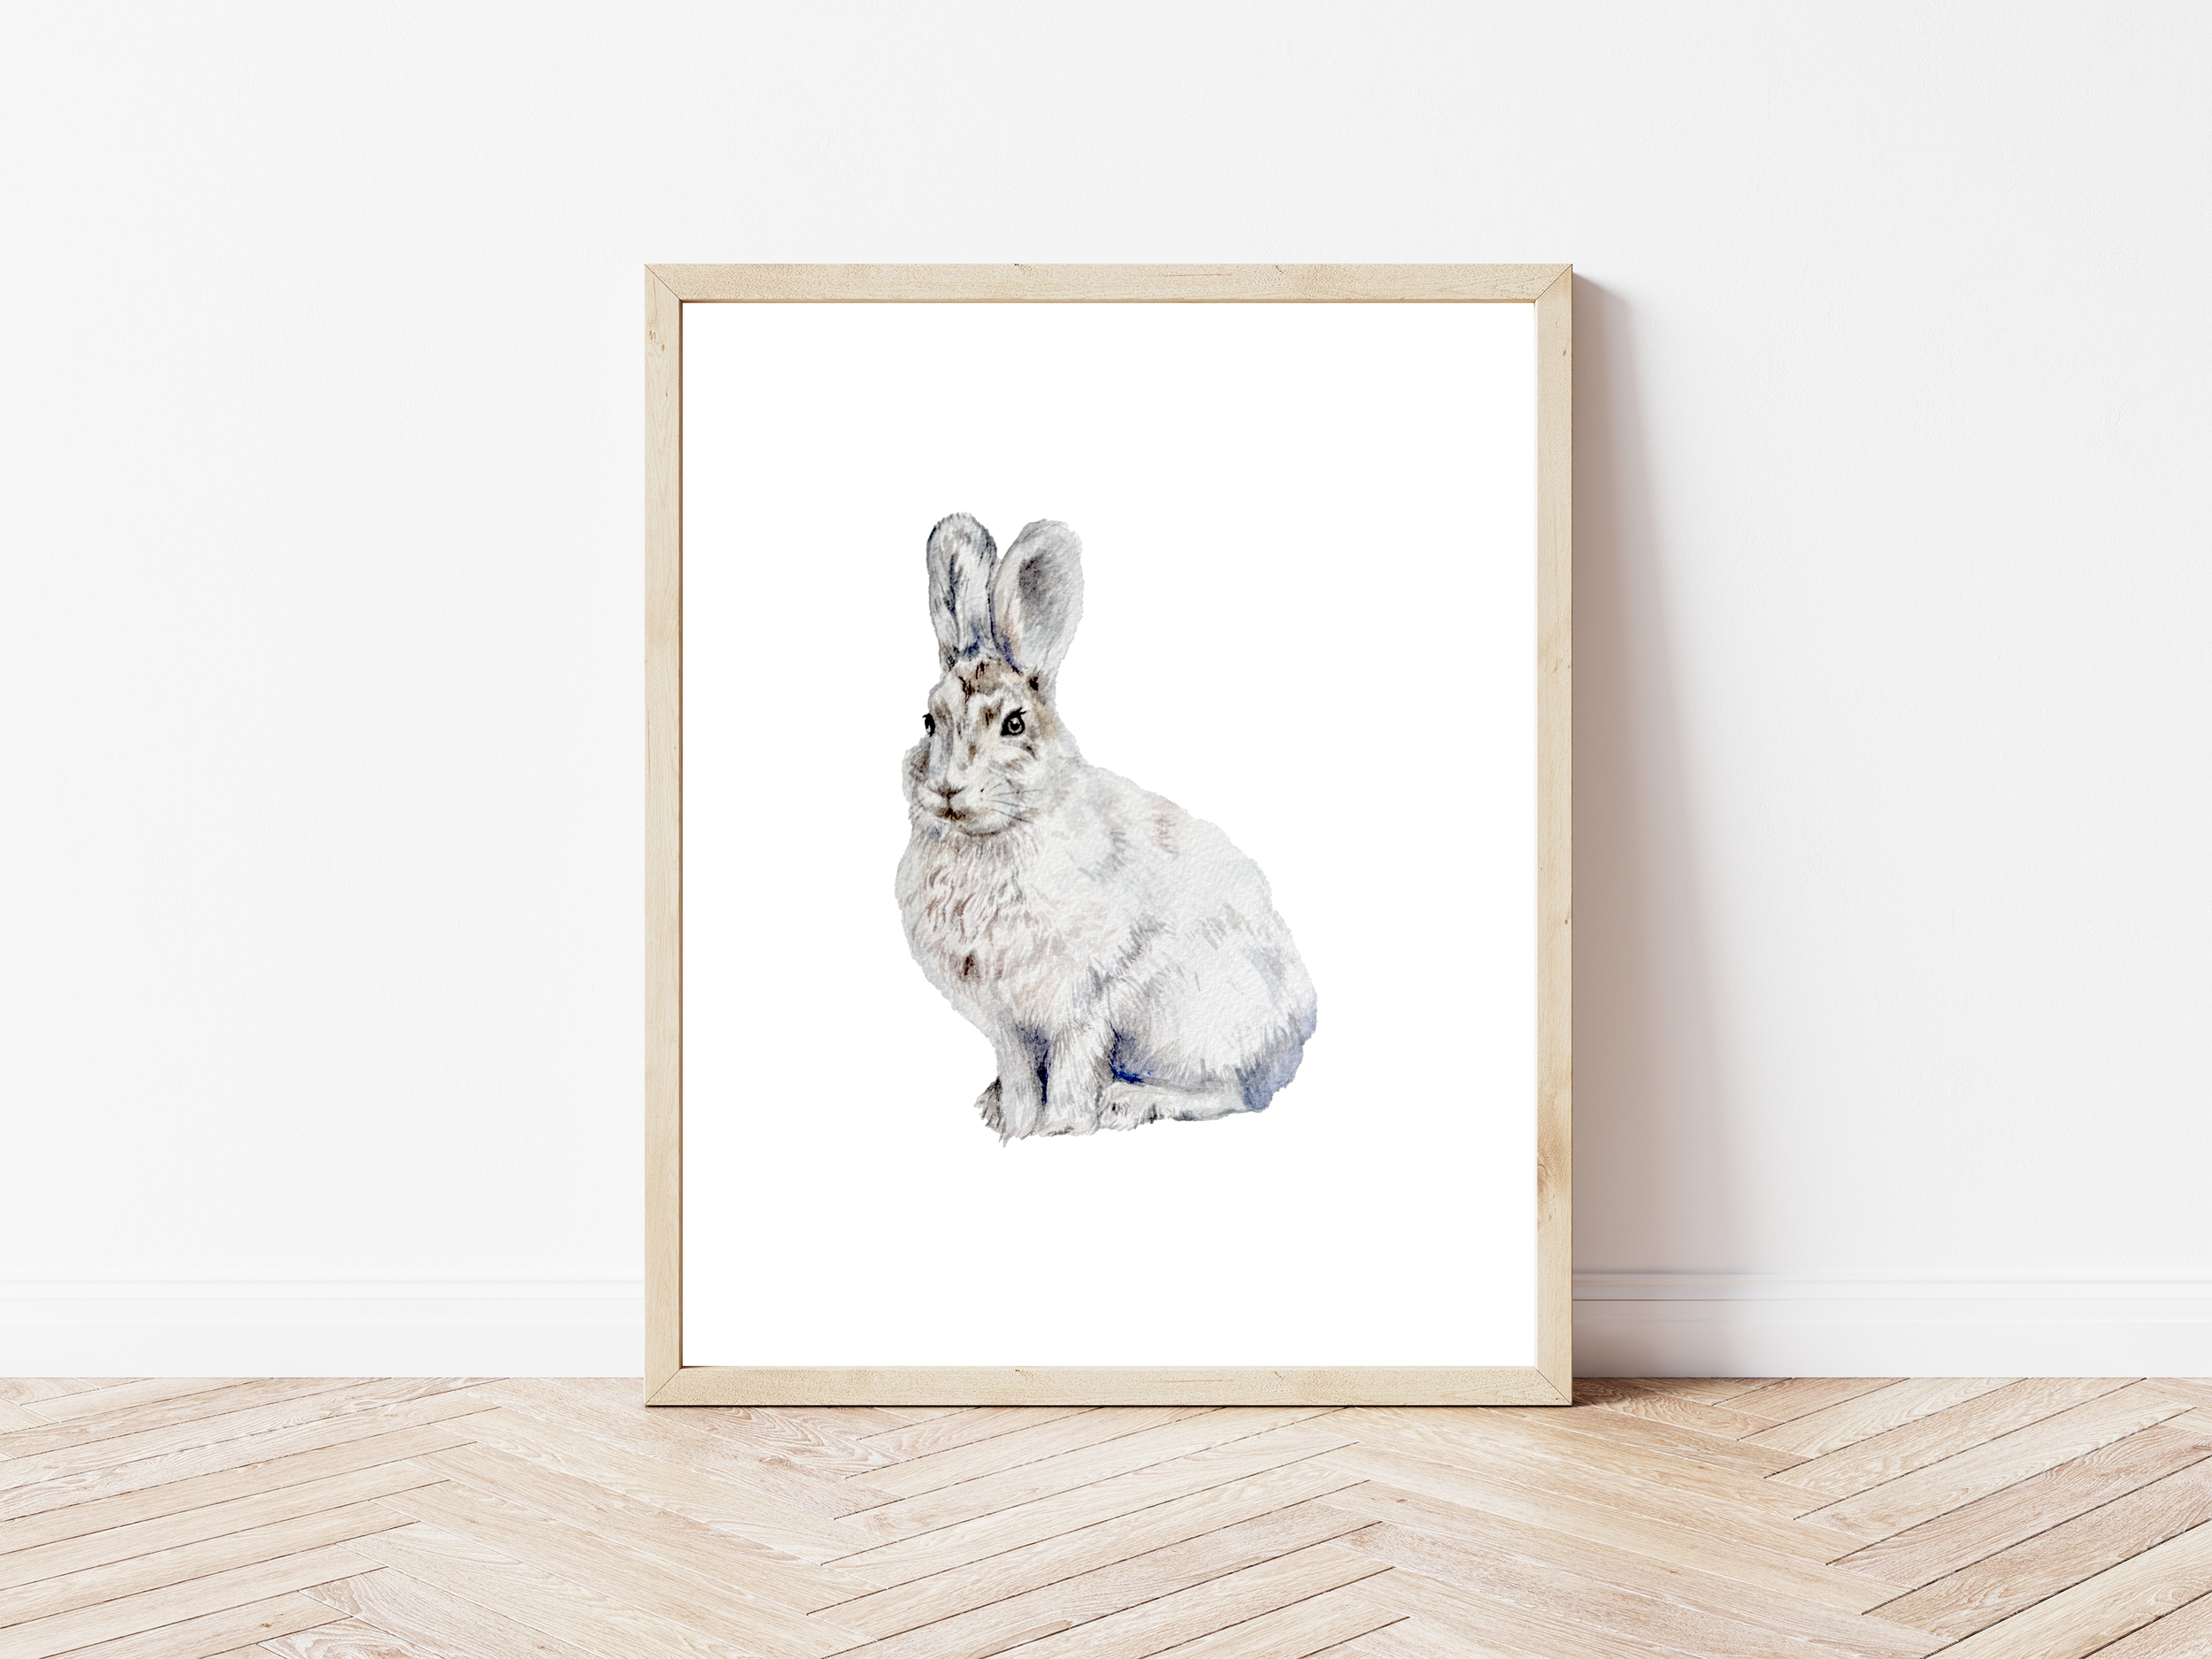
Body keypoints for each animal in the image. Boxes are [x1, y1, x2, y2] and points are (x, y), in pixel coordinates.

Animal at [896, 512, 1317, 1141]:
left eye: (1015, 724)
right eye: (929, 721)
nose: (947, 789)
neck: (998, 835)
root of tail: (1295, 1036)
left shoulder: (1087, 996)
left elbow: (1071, 1070)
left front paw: (1060, 1129)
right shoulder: (1008, 1023)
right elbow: (1020, 1074)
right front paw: (1014, 1124)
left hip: (1188, 1020)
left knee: (1236, 1093)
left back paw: (1130, 1102)